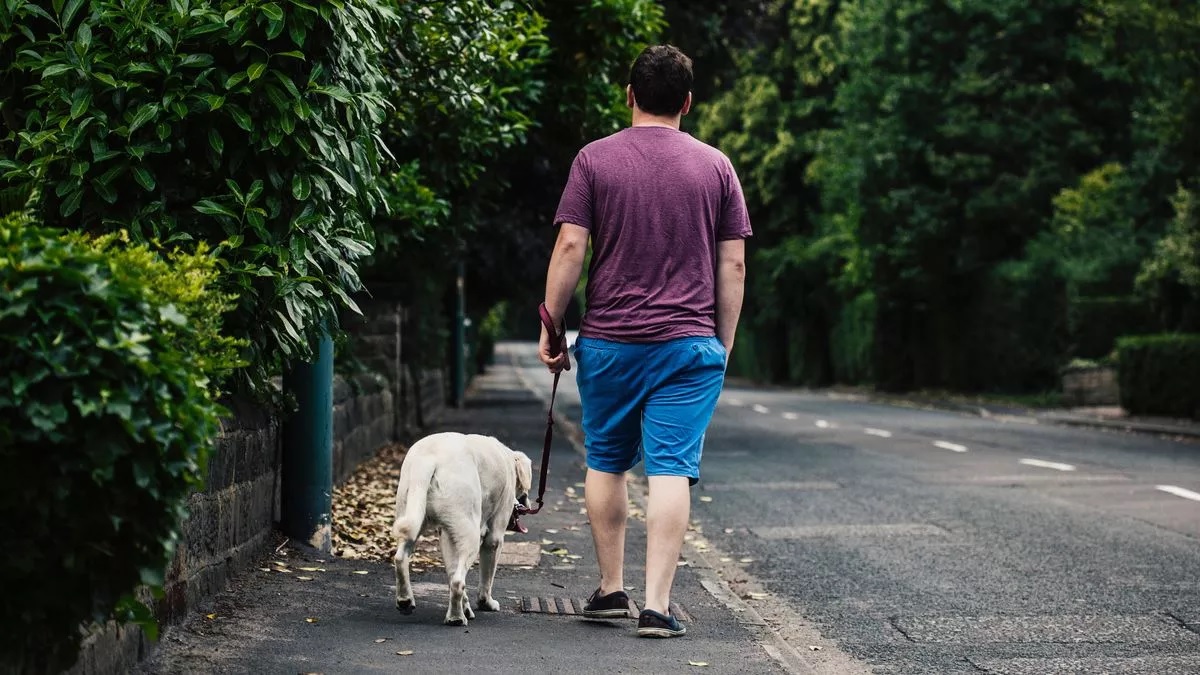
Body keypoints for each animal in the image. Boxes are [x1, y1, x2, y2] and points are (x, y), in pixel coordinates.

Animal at [391, 432, 532, 624]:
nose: (527, 504)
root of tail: (429, 459)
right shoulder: (494, 538)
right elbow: (486, 578)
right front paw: (486, 603)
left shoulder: (447, 534)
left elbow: (451, 570)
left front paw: (467, 606)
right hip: (471, 535)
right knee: (458, 581)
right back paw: (456, 617)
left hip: (413, 513)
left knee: (401, 559)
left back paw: (406, 600)